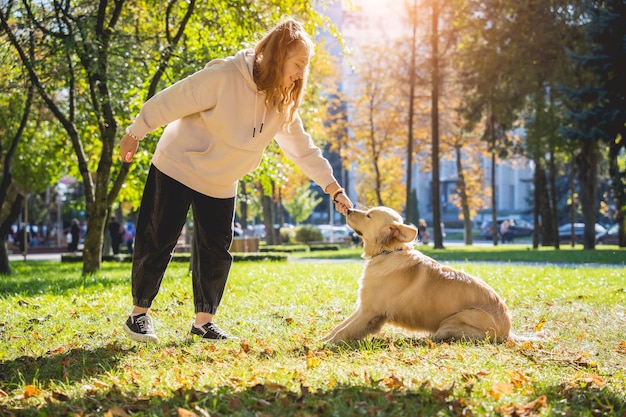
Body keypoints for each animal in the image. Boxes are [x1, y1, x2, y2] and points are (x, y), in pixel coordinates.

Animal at [322, 206, 512, 342]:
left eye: (369, 215)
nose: (347, 209)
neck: (388, 252)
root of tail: (508, 332)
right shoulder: (364, 307)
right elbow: (340, 326)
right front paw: (324, 339)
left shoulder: (371, 311)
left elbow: (345, 330)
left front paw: (326, 345)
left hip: (456, 319)